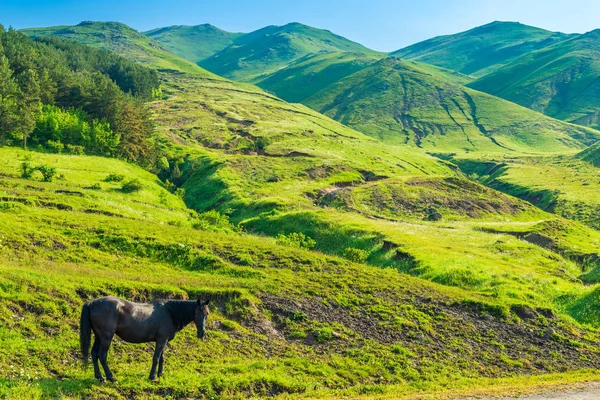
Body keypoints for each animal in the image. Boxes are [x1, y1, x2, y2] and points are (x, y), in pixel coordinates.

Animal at [79, 296, 211, 382]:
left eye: (207, 314)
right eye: (197, 313)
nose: (202, 333)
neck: (169, 312)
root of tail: (91, 303)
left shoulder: (163, 341)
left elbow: (162, 358)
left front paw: (161, 374)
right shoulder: (161, 340)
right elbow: (156, 358)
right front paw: (152, 376)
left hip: (99, 337)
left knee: (94, 353)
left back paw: (100, 377)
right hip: (106, 338)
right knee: (102, 355)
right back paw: (111, 377)